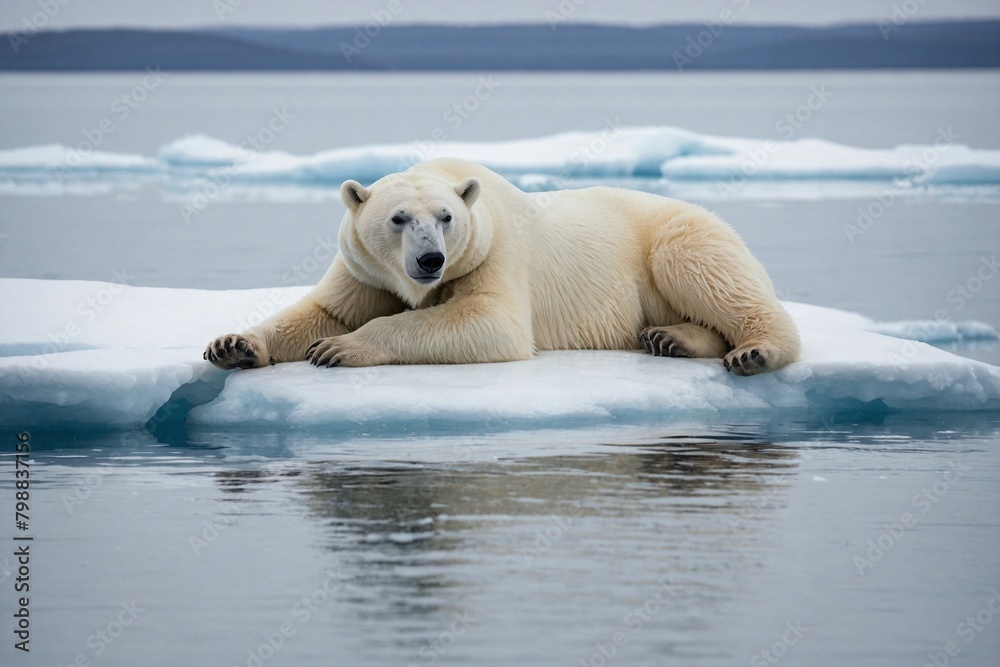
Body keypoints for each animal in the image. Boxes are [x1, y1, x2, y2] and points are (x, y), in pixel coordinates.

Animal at [204, 157, 800, 376]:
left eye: (446, 217)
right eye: (398, 218)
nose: (430, 259)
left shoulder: (493, 253)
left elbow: (491, 322)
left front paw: (338, 348)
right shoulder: (365, 269)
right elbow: (323, 309)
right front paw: (233, 345)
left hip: (678, 232)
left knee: (710, 273)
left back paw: (752, 351)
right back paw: (671, 339)